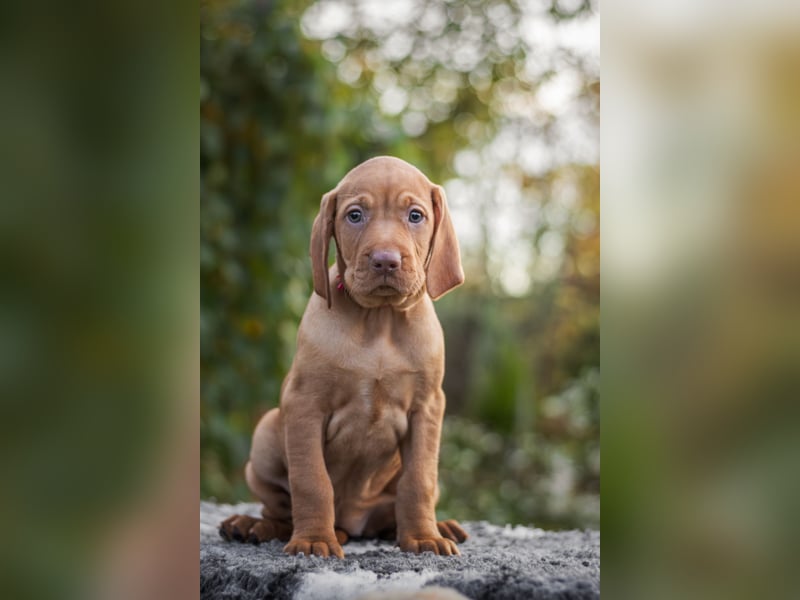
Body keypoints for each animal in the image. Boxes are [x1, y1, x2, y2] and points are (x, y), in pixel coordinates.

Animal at [220, 156, 468, 556]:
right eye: (355, 216)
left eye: (415, 216)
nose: (385, 261)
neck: (379, 322)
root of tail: (353, 522)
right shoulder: (304, 404)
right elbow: (311, 480)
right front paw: (312, 540)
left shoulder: (428, 408)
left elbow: (418, 480)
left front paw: (424, 537)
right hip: (267, 431)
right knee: (280, 508)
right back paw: (256, 525)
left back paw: (435, 525)